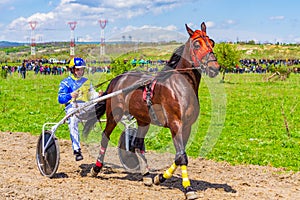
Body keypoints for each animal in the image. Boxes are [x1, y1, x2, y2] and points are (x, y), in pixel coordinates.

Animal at [89, 22, 220, 198]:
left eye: (212, 42)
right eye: (197, 44)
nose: (214, 67)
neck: (180, 85)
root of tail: (117, 78)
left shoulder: (187, 126)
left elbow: (179, 156)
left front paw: (160, 178)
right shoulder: (175, 124)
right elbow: (182, 157)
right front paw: (188, 188)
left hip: (143, 120)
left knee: (137, 144)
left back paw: (146, 175)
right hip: (114, 115)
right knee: (105, 136)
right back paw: (96, 168)